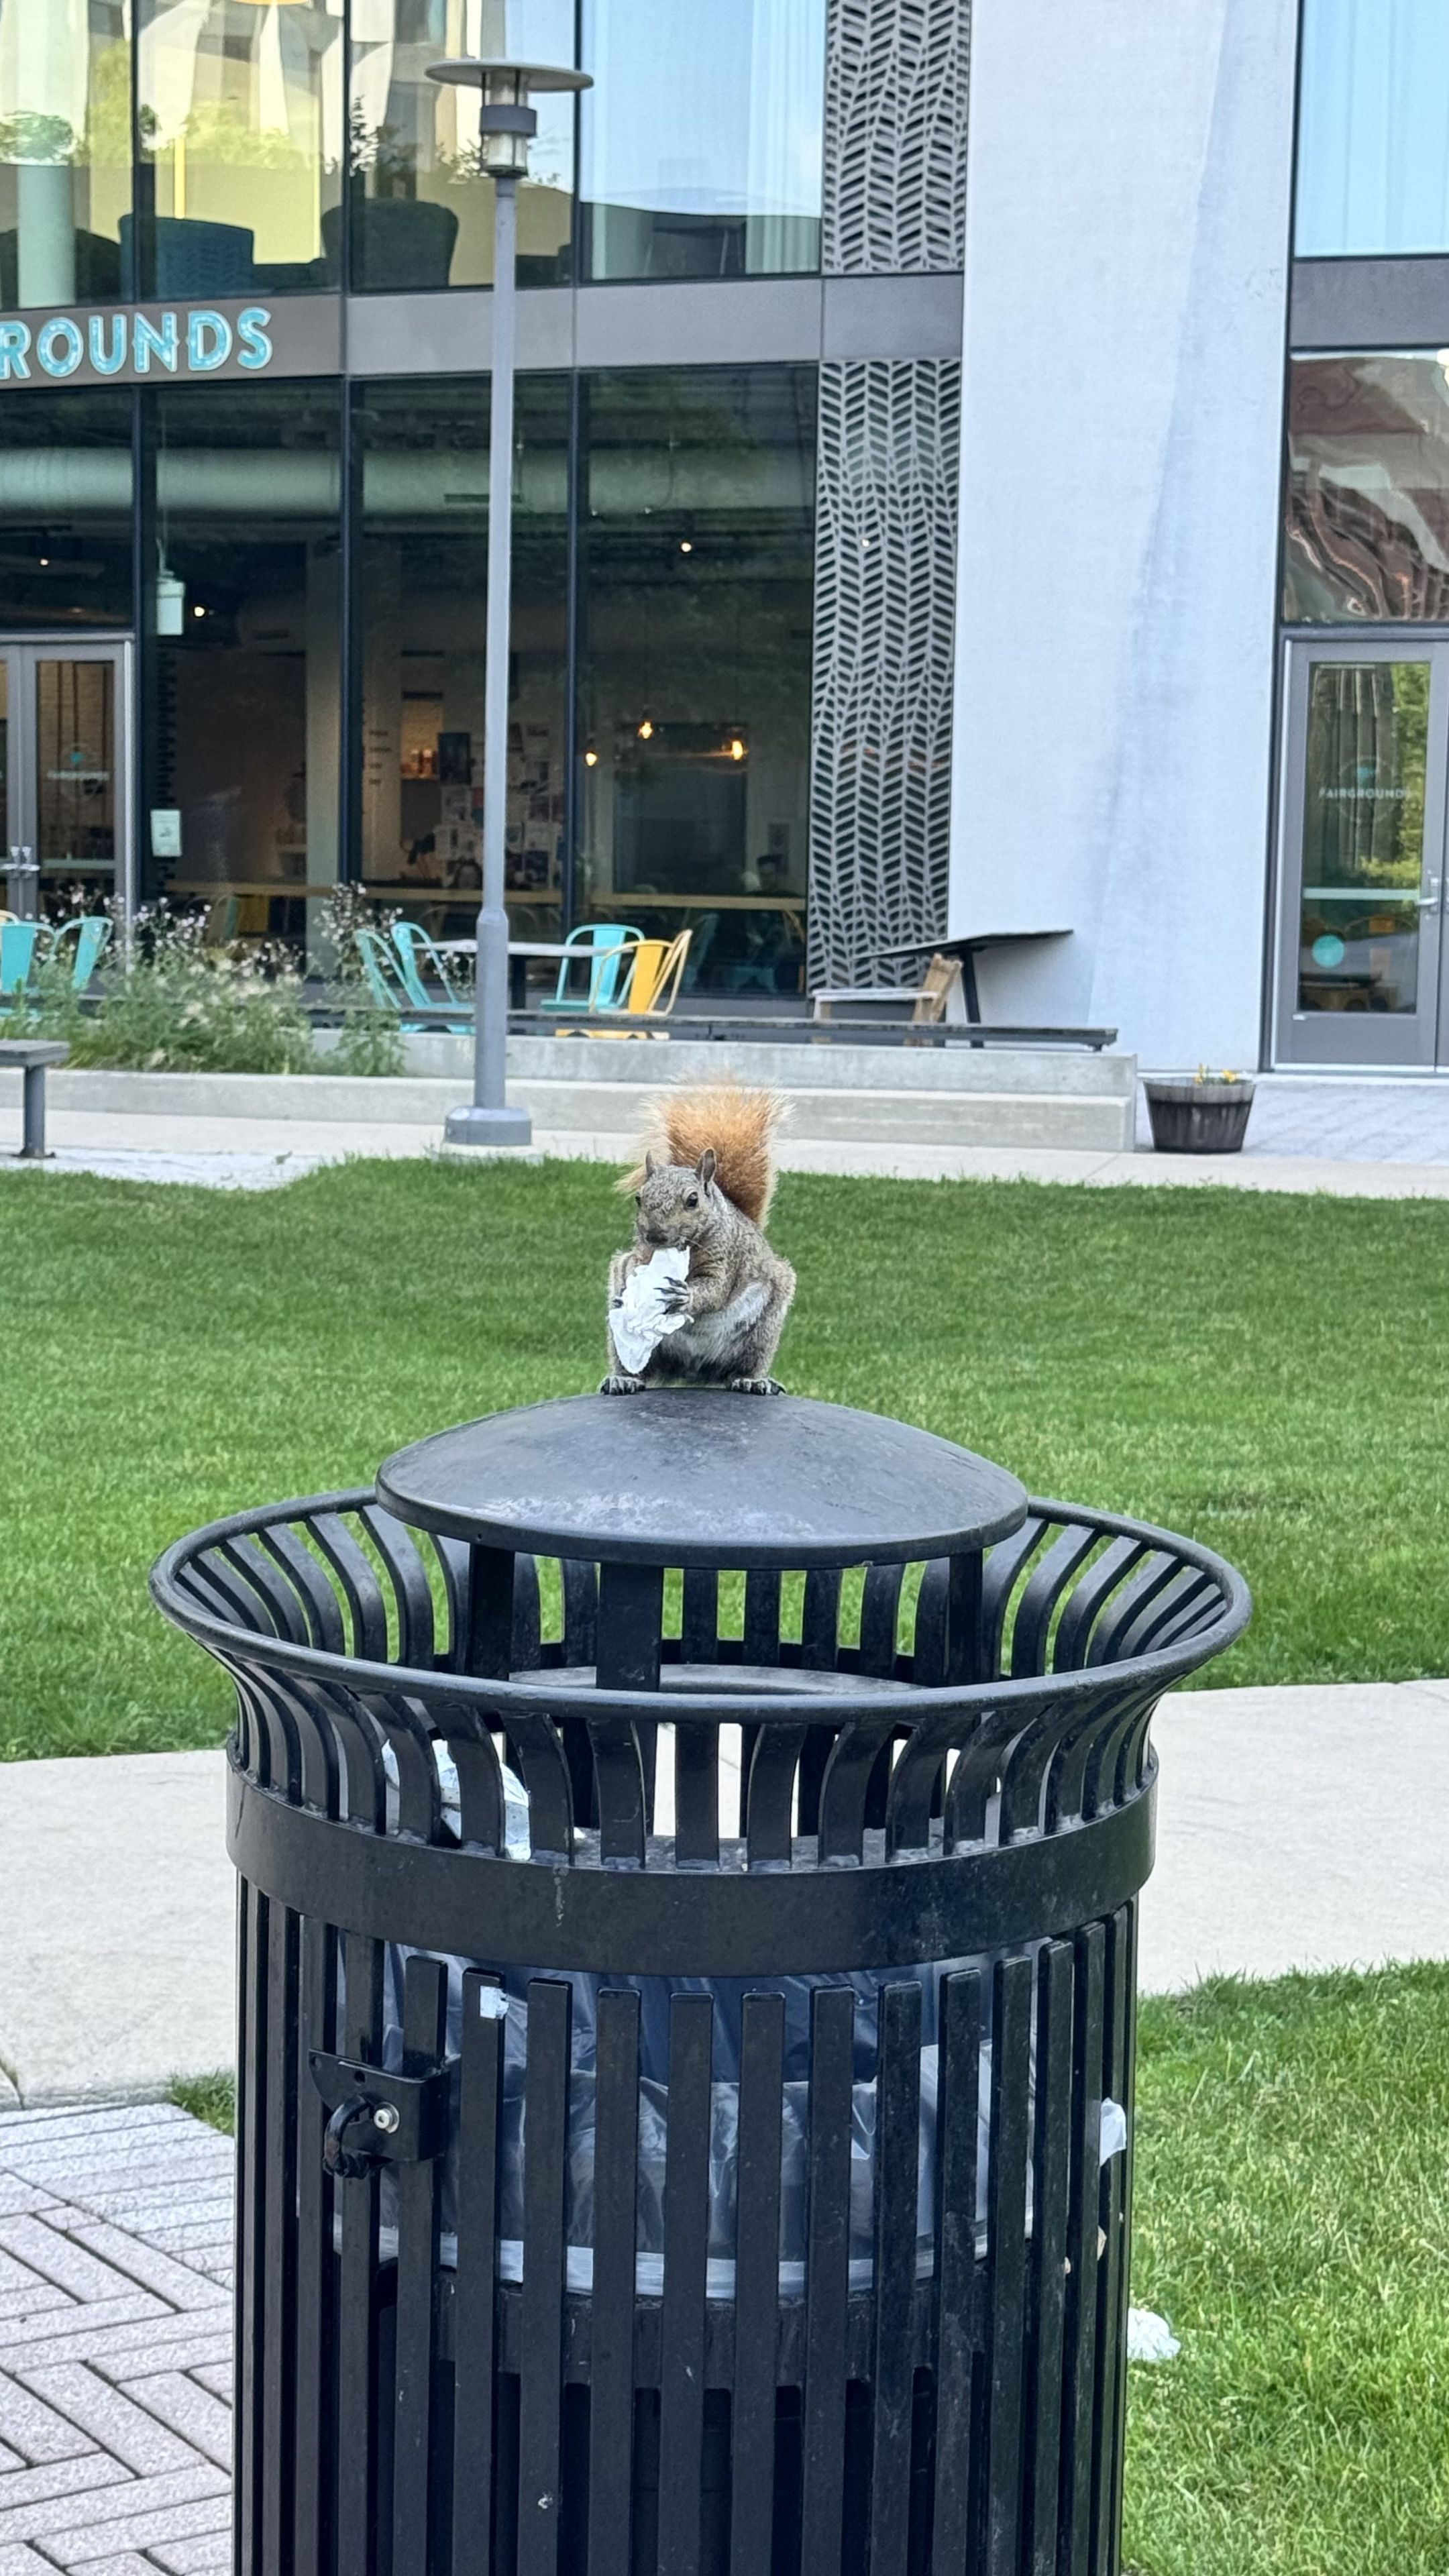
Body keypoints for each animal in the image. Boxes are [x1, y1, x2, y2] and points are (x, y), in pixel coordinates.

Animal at [601, 1085, 797, 1396]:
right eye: (639, 1198)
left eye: (693, 1200)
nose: (655, 1235)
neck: (686, 1247)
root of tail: (692, 1370)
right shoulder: (641, 1252)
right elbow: (632, 1264)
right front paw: (632, 1287)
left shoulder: (727, 1257)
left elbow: (715, 1290)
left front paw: (686, 1296)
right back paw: (624, 1378)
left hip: (764, 1329)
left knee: (750, 1362)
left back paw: (752, 1380)